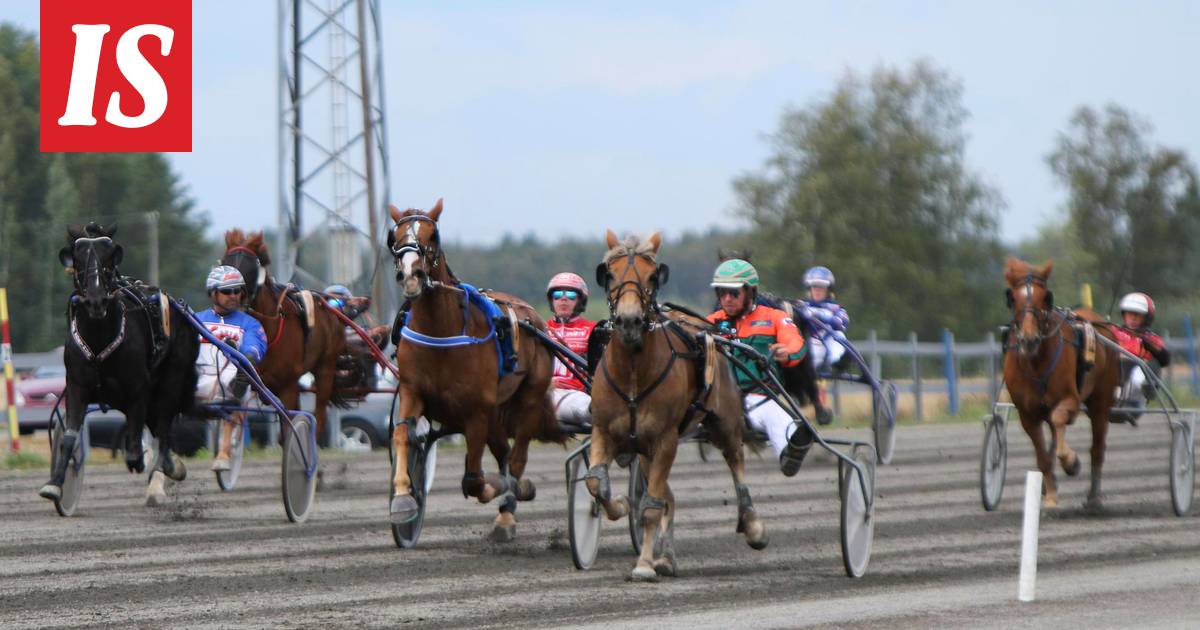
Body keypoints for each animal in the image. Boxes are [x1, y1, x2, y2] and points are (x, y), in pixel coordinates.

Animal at [39, 222, 199, 506]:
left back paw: (168, 468)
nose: (96, 300)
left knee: (164, 426)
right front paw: (55, 484)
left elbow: (135, 448)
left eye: (110, 257)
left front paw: (142, 461)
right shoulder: (77, 386)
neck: (100, 338)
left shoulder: (139, 389)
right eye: (77, 259)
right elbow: (69, 438)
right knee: (159, 427)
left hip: (172, 378)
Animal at [219, 228, 348, 439]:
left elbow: (290, 428)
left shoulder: (288, 386)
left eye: (249, 268)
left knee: (319, 415)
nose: (230, 298)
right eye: (225, 263)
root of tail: (329, 306)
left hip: (325, 367)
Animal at [388, 198, 566, 540]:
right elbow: (402, 436)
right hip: (496, 411)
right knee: (505, 454)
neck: (441, 332)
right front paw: (404, 498)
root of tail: (533, 316)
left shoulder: (476, 412)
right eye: (394, 237)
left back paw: (509, 507)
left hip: (529, 398)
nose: (411, 275)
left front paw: (501, 487)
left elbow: (473, 479)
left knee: (517, 458)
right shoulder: (412, 392)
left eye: (433, 235)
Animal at [588, 229, 768, 580]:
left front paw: (644, 564)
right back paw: (666, 557)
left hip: (724, 423)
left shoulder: (665, 440)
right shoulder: (604, 432)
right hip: (645, 450)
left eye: (652, 276)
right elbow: (597, 485)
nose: (629, 321)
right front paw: (621, 505)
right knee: (666, 495)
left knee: (736, 463)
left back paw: (753, 525)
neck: (633, 373)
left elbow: (651, 506)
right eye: (609, 274)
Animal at [998, 255, 1118, 506]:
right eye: (1012, 298)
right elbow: (1043, 456)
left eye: (1046, 296)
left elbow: (1060, 419)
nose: (1029, 339)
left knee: (1097, 447)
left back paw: (1094, 496)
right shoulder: (1027, 414)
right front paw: (1051, 495)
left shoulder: (1070, 400)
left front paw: (1072, 462)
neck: (1035, 364)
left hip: (1101, 401)